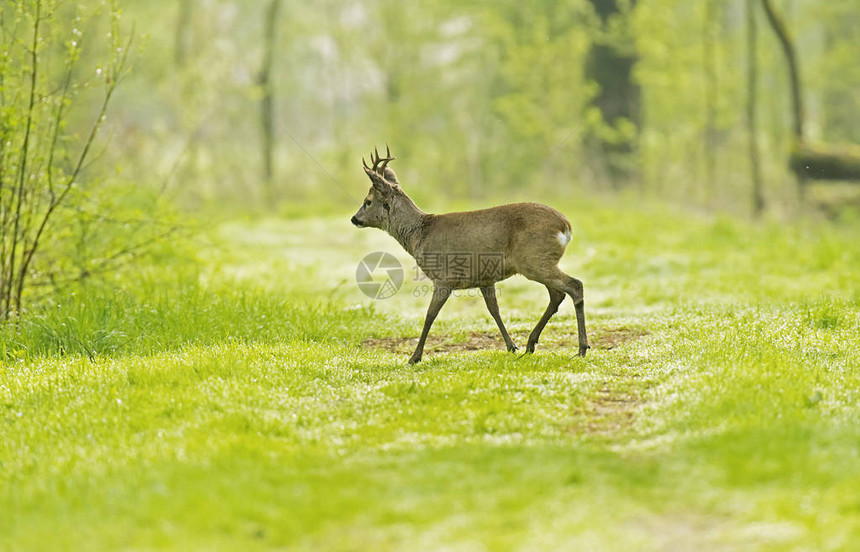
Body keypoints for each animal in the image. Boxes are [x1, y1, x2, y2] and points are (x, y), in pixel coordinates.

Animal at [350, 146, 584, 366]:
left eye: (368, 201)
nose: (354, 218)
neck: (420, 234)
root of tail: (566, 226)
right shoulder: (485, 278)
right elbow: (494, 310)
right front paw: (511, 346)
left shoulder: (444, 277)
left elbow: (429, 316)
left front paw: (414, 357)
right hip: (538, 262)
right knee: (557, 295)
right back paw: (531, 344)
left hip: (533, 259)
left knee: (574, 285)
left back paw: (581, 348)